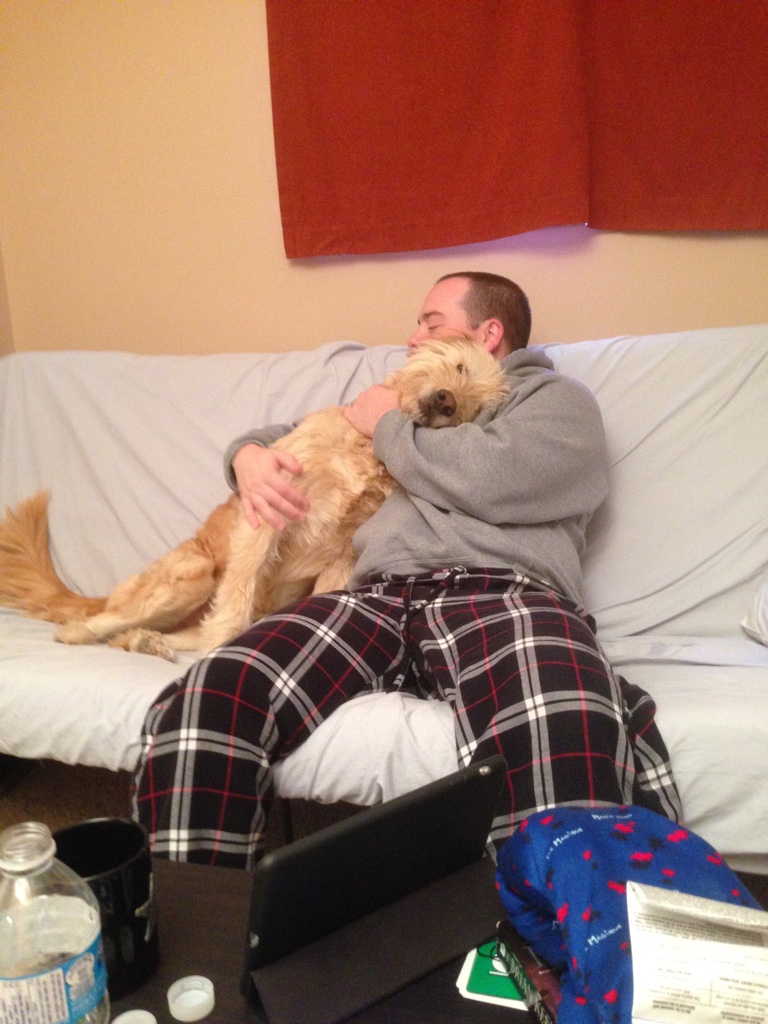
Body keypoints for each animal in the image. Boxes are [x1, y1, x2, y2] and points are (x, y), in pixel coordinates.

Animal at [0, 338, 509, 659]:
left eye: (472, 408)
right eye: (460, 367)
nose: (446, 402)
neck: (365, 449)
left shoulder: (342, 556)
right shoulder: (266, 513)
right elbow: (237, 595)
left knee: (160, 633)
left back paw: (147, 643)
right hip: (191, 576)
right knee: (96, 626)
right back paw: (92, 631)